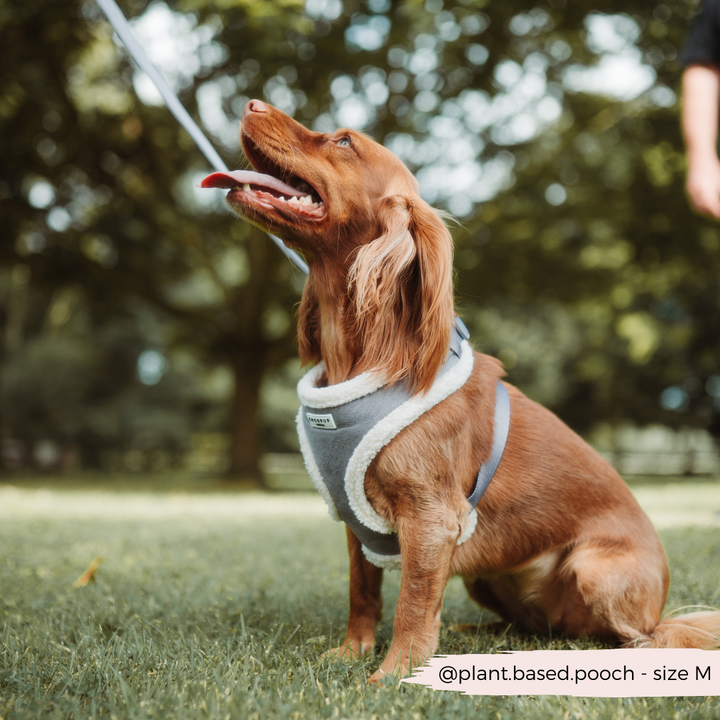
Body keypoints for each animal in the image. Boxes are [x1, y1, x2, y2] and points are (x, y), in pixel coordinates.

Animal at [201, 100, 720, 680]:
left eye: (342, 141)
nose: (251, 104)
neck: (364, 356)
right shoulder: (356, 522)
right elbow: (363, 593)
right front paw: (353, 651)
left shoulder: (432, 519)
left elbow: (411, 602)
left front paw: (395, 673)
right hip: (486, 578)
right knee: (543, 626)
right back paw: (477, 631)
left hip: (593, 570)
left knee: (640, 636)